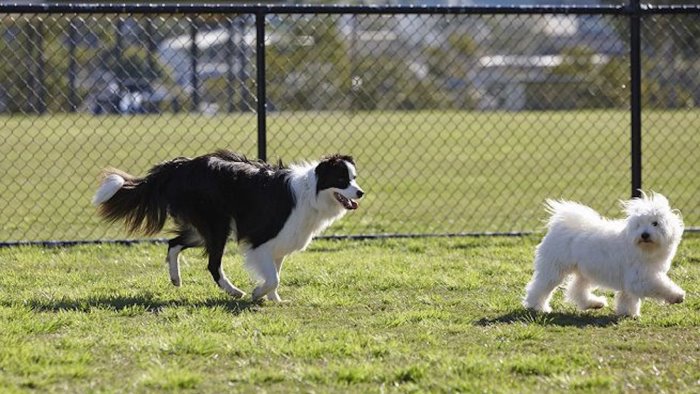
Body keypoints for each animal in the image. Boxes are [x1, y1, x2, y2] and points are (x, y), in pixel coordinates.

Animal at [524, 192, 684, 318]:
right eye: (638, 225)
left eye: (655, 223)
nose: (644, 234)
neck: (644, 249)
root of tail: (560, 226)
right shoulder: (640, 278)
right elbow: (660, 286)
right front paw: (677, 296)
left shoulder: (632, 278)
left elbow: (627, 297)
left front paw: (628, 313)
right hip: (555, 269)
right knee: (540, 287)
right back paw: (537, 307)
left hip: (585, 272)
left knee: (576, 290)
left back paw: (594, 303)